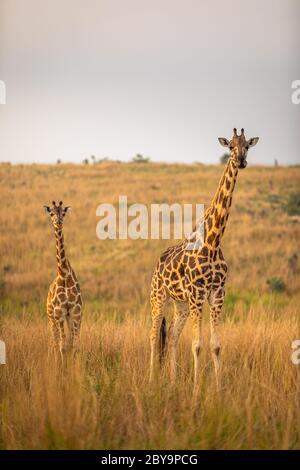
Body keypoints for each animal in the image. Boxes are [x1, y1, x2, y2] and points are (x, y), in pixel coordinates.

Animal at [149, 127, 258, 390]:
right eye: (230, 146)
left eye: (247, 146)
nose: (241, 161)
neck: (213, 241)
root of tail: (158, 262)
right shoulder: (198, 293)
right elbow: (197, 345)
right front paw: (197, 390)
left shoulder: (217, 293)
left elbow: (216, 345)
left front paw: (218, 390)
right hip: (158, 296)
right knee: (153, 334)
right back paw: (151, 379)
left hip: (180, 304)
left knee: (173, 336)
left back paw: (172, 381)